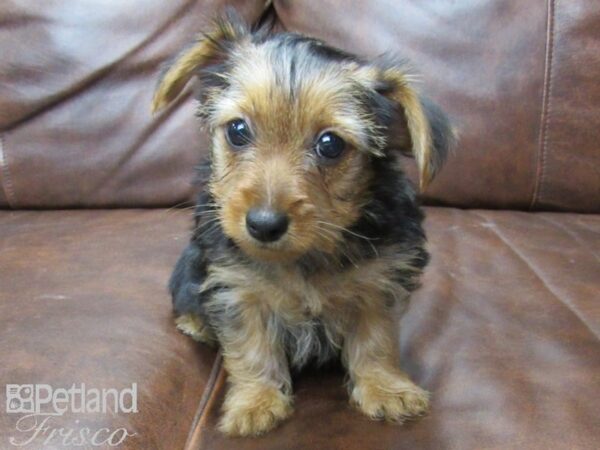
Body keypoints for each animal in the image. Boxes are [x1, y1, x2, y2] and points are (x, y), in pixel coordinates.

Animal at [152, 12, 452, 438]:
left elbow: (376, 338)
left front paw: (386, 388)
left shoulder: (380, 280)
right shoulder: (237, 288)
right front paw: (256, 403)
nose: (263, 224)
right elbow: (251, 347)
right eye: (238, 131)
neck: (307, 254)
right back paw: (196, 324)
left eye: (330, 144)